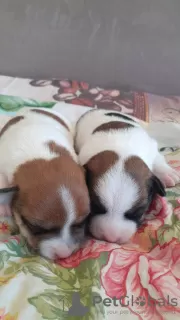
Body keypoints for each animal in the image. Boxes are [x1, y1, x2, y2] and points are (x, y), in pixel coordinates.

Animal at [74, 109, 180, 244]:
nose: (111, 238)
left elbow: (158, 159)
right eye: (95, 207)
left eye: (137, 213)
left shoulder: (151, 148)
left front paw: (167, 173)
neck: (122, 151)